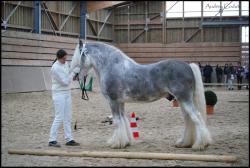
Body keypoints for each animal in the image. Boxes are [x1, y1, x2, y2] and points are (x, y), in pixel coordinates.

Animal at [70, 40, 213, 150]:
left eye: (78, 56)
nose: (74, 75)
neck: (111, 66)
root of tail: (188, 66)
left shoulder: (113, 101)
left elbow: (117, 122)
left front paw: (116, 143)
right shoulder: (120, 102)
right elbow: (124, 120)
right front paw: (125, 142)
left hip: (184, 99)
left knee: (196, 117)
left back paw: (200, 144)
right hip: (182, 101)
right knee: (188, 120)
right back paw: (184, 143)